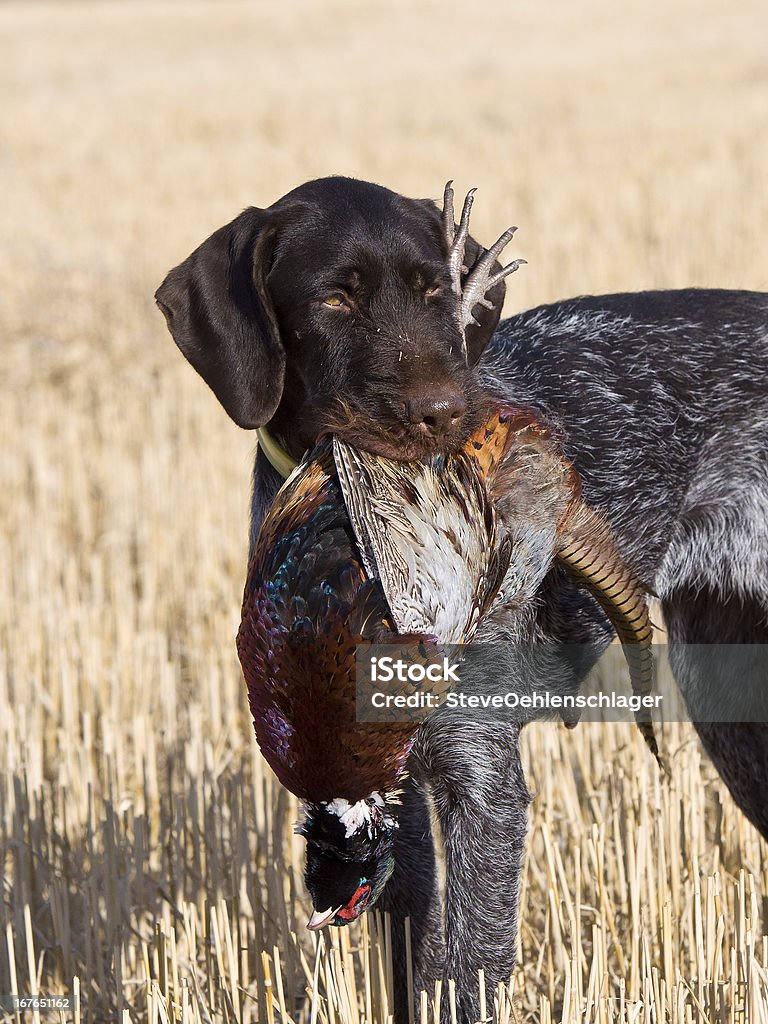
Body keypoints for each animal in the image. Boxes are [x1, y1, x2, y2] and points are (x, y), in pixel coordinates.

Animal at [156, 178, 768, 1024]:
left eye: (435, 295)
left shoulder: (481, 784)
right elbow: (410, 962)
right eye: (334, 299)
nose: (450, 411)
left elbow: (471, 966)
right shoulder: (390, 795)